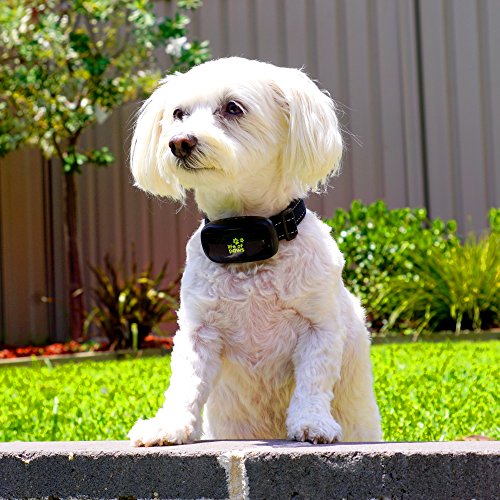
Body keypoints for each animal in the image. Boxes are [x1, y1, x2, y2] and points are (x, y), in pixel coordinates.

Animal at [128, 57, 382, 446]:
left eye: (233, 108)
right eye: (178, 114)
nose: (179, 142)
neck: (245, 240)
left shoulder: (320, 327)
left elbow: (313, 380)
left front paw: (312, 422)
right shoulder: (198, 331)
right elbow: (186, 382)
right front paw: (169, 425)